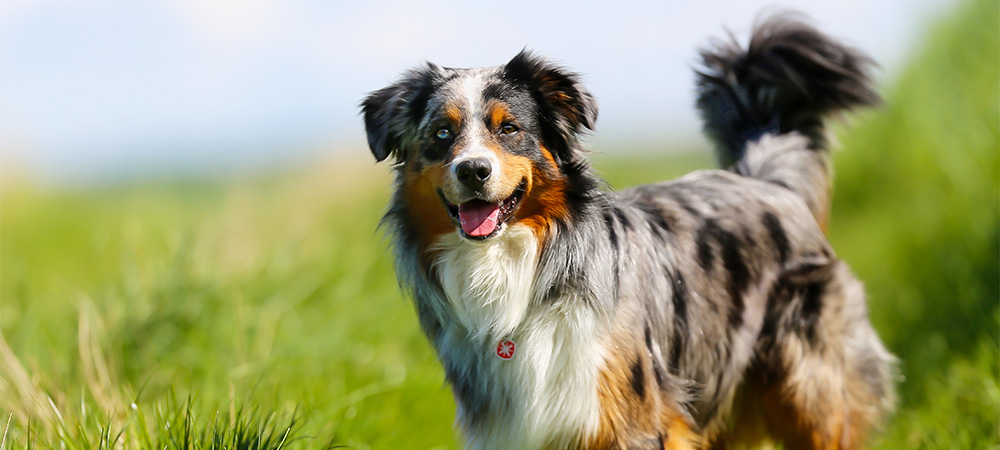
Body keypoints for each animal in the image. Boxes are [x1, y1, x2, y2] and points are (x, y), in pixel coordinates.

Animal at [364, 14, 896, 450]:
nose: (473, 170)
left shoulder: (634, 419)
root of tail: (766, 179)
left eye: (509, 128)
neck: (514, 269)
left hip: (810, 391)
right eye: (441, 134)